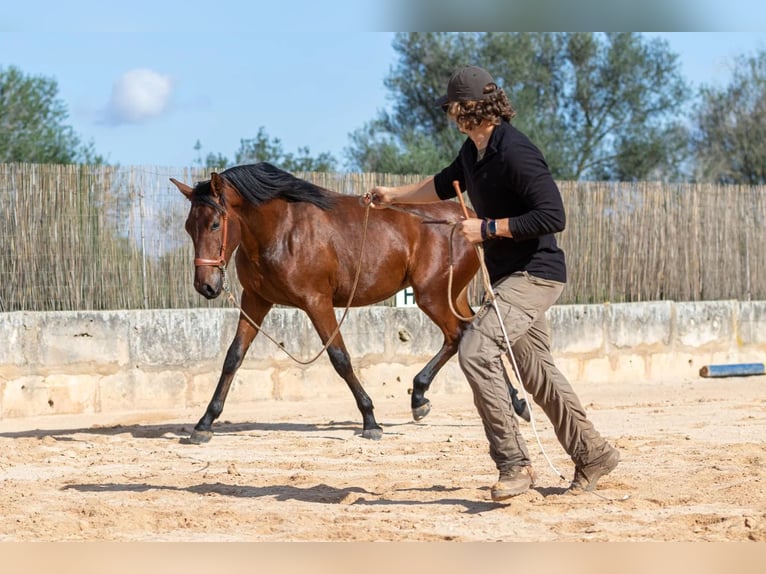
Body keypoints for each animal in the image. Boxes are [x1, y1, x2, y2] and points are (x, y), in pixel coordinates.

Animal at [171, 164, 476, 444]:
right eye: (188, 227)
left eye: (214, 224)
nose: (205, 286)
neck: (281, 230)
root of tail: (468, 218)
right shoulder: (256, 300)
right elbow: (233, 357)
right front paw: (205, 423)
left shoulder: (317, 302)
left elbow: (340, 358)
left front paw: (370, 420)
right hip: (453, 296)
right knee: (466, 332)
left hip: (432, 295)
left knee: (455, 335)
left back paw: (420, 397)